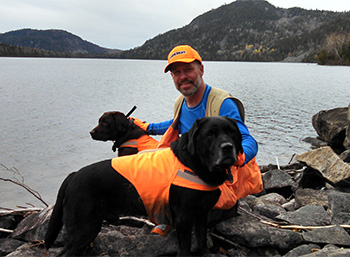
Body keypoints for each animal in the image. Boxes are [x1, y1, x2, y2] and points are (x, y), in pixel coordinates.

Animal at [44, 117, 243, 255]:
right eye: (210, 134)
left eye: (232, 132)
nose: (228, 147)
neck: (193, 164)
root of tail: (73, 175)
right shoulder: (184, 219)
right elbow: (185, 250)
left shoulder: (201, 215)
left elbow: (201, 243)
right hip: (84, 228)